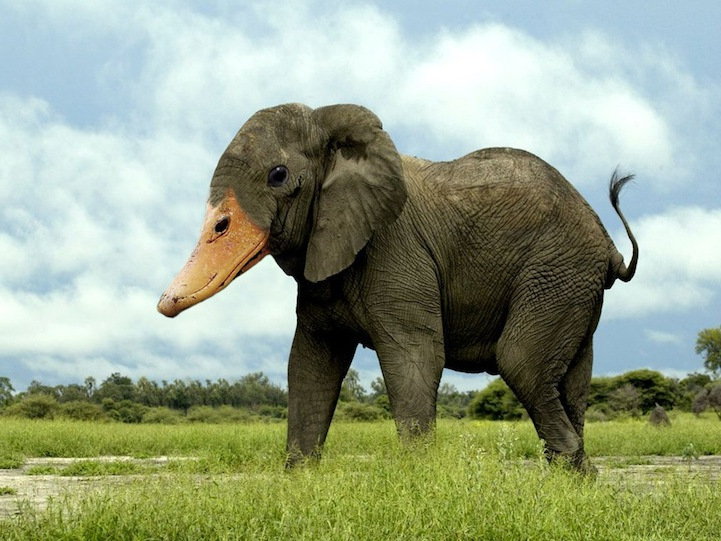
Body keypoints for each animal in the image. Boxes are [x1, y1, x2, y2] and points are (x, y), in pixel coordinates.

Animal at [158, 103, 638, 472]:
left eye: (278, 175)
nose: (165, 304)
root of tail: (608, 244)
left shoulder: (396, 251)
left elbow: (415, 357)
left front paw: (419, 485)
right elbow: (310, 364)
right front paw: (298, 482)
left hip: (557, 271)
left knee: (521, 363)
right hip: (572, 282)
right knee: (571, 379)